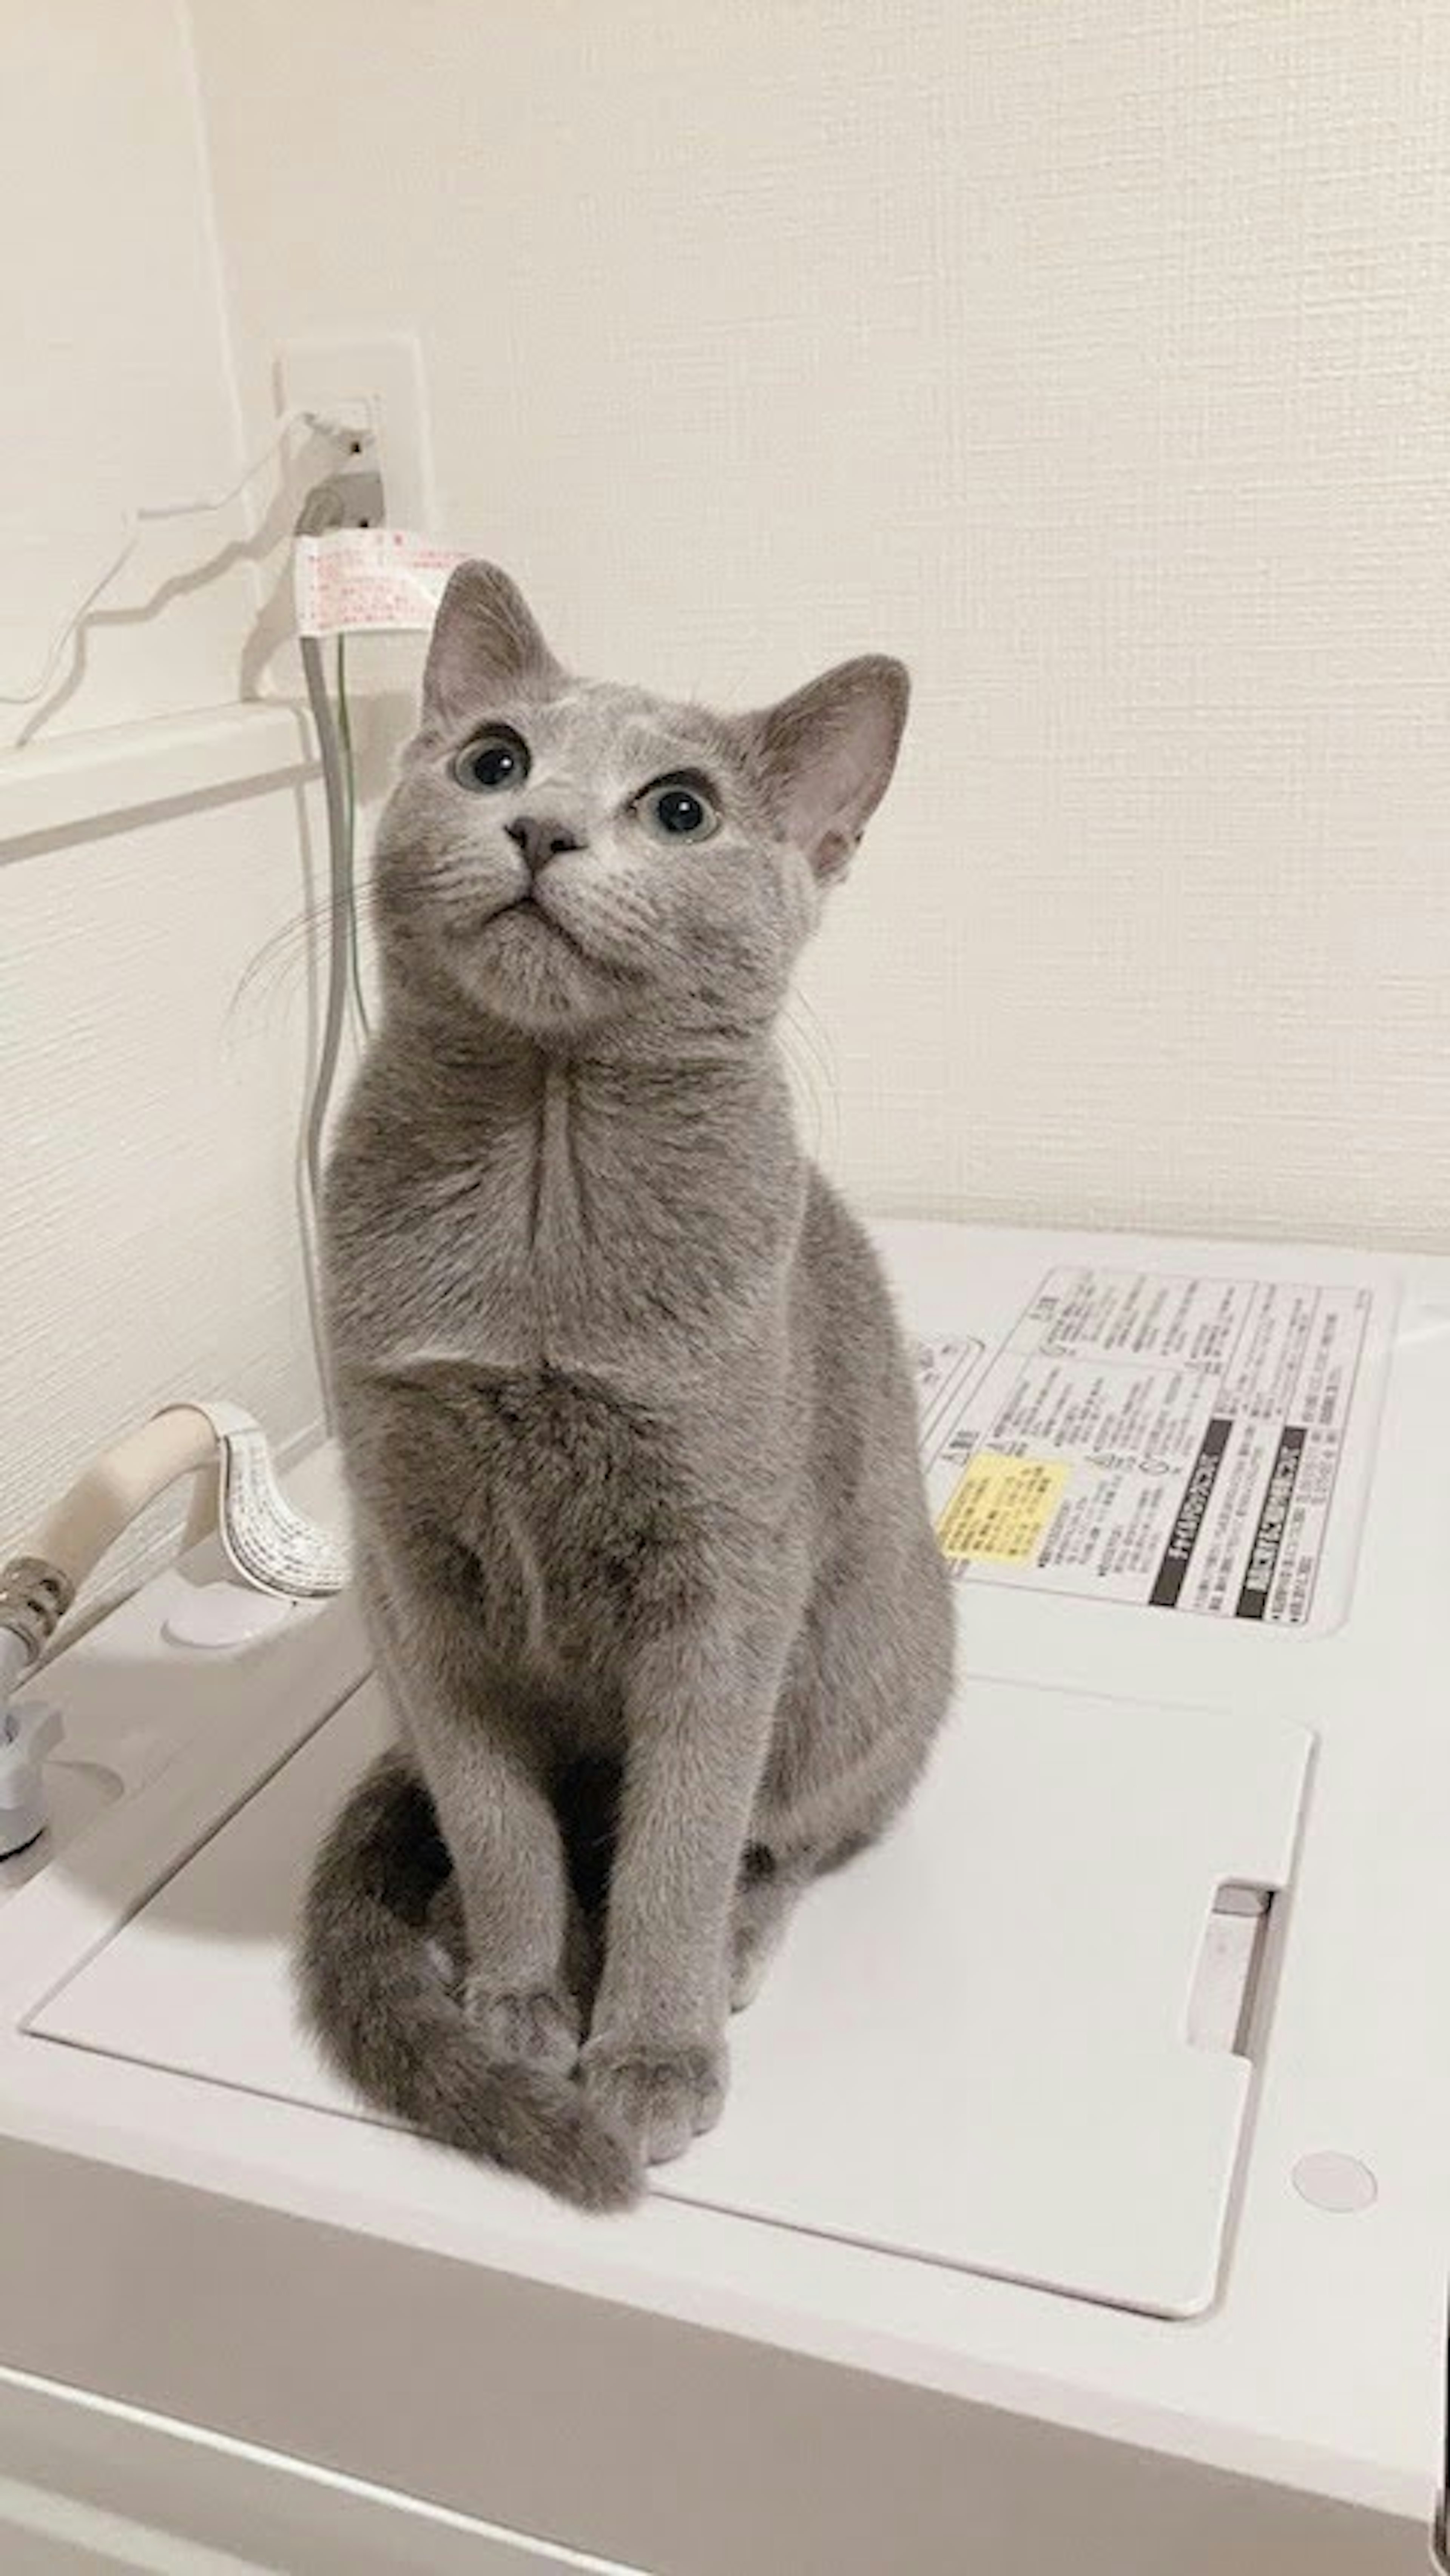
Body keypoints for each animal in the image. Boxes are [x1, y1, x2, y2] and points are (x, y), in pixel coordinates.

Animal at [301, 569, 958, 2215]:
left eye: (681, 809)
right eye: (491, 761)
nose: (542, 829)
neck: (543, 1176)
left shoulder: (723, 1580)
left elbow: (679, 1837)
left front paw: (650, 2052)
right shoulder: (415, 1565)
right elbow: (497, 1816)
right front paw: (518, 1995)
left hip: (861, 1665)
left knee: (782, 1836)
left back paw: (730, 1945)